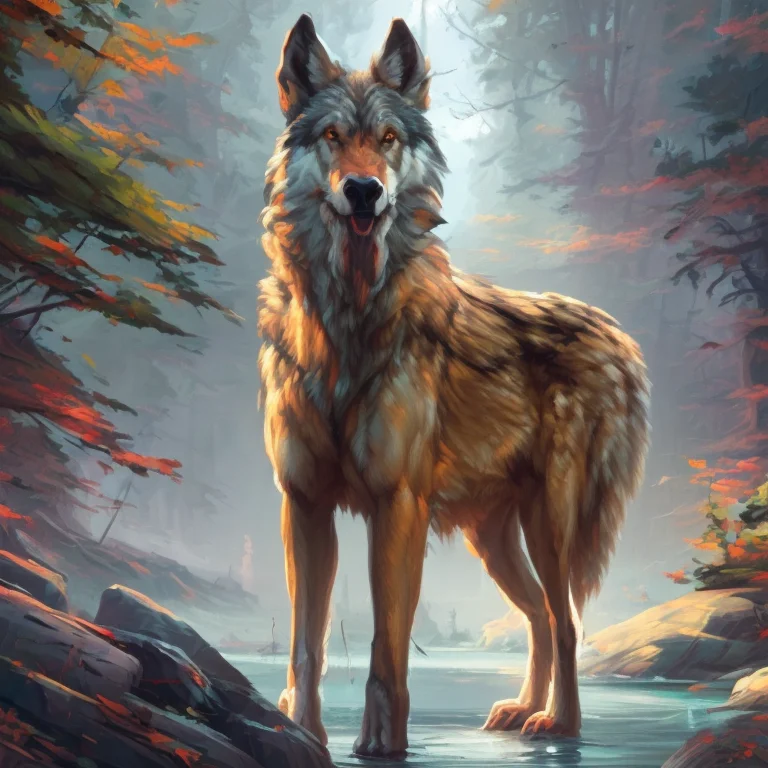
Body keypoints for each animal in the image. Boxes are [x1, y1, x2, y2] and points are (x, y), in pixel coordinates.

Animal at [258, 14, 650, 760]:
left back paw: (559, 724)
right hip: (494, 540)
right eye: (333, 137)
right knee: (538, 616)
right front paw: (300, 731)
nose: (363, 190)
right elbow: (304, 643)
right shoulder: (303, 503)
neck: (349, 318)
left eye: (387, 138)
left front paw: (381, 743)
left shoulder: (397, 505)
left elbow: (387, 648)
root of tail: (620, 338)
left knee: (568, 620)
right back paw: (521, 711)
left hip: (551, 527)